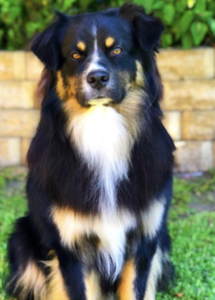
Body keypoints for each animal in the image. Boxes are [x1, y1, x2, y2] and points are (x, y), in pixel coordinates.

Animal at [7, 2, 175, 300]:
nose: (97, 78)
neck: (102, 126)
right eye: (76, 54)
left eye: (116, 50)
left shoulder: (144, 241)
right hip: (21, 241)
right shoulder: (71, 247)